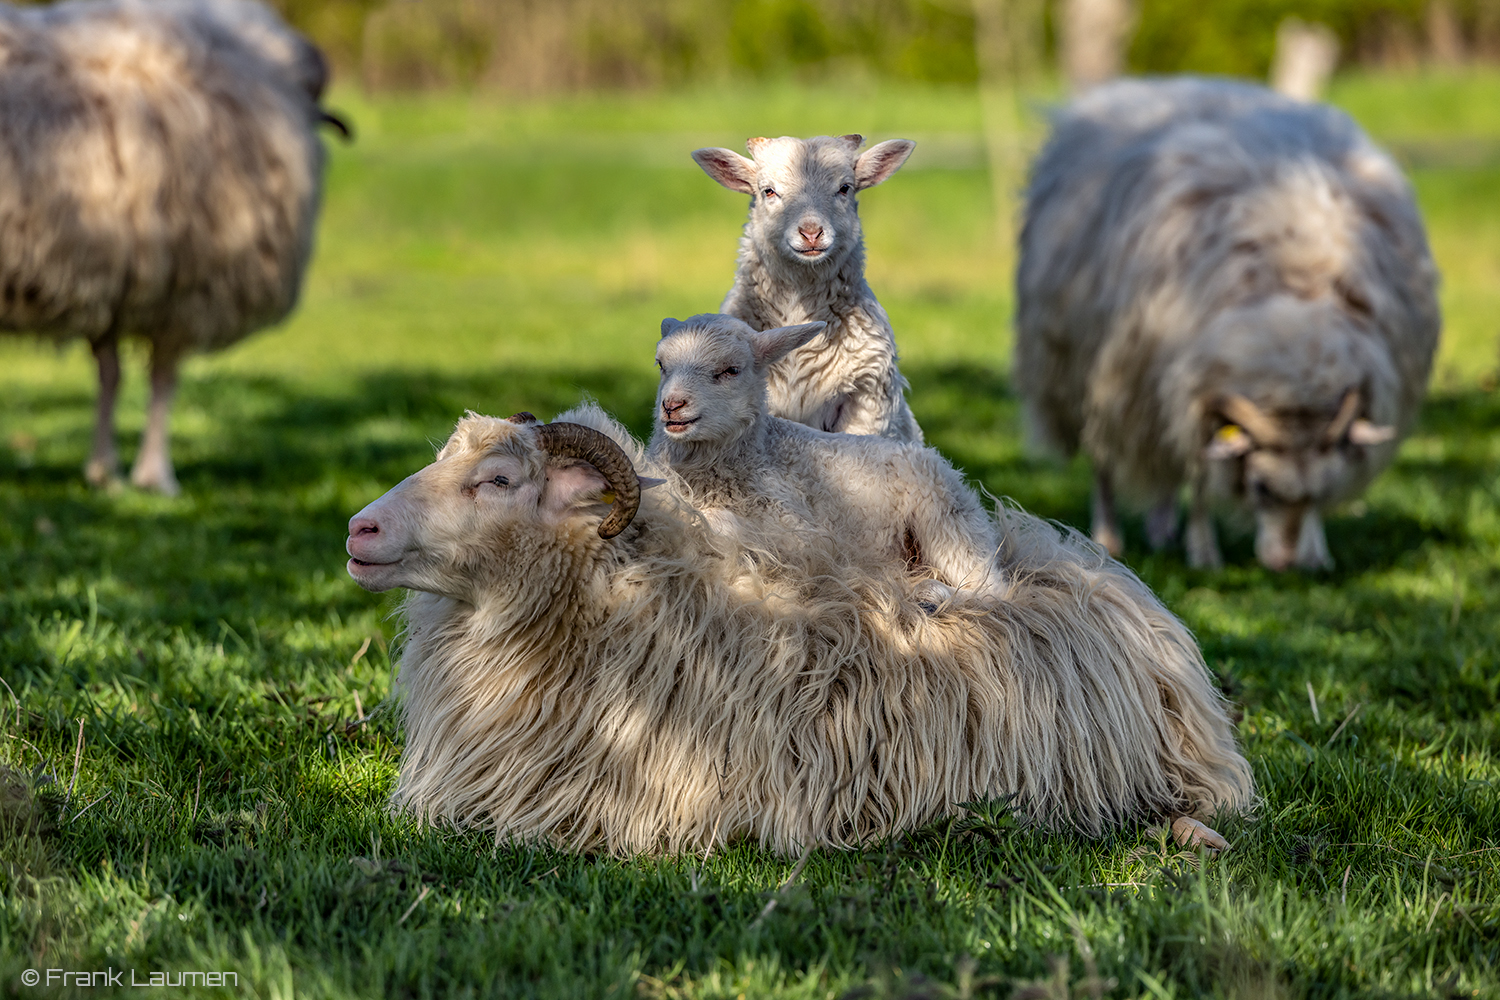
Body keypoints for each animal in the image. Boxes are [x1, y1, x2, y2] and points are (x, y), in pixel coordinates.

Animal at [0, 0, 343, 497]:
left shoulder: (115, 279)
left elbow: (110, 372)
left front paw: (104, 470)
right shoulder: (182, 289)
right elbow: (162, 378)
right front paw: (156, 475)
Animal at [1014, 76, 1434, 569]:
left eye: (1323, 492)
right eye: (1261, 488)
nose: (1285, 566)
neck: (1292, 306)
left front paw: (1315, 551)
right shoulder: (1188, 383)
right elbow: (1199, 473)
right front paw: (1204, 551)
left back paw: (1161, 530)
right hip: (1088, 371)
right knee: (1106, 456)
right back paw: (1107, 537)